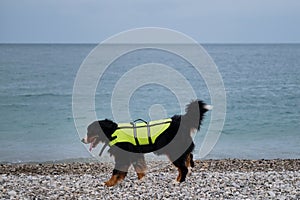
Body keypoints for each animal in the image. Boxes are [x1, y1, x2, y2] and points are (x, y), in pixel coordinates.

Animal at [82, 100, 211, 186]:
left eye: (90, 132)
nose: (82, 140)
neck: (113, 132)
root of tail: (180, 120)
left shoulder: (123, 156)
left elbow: (117, 170)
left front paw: (109, 183)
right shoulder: (134, 155)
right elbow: (138, 168)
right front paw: (140, 179)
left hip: (174, 151)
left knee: (183, 168)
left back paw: (178, 181)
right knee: (187, 157)